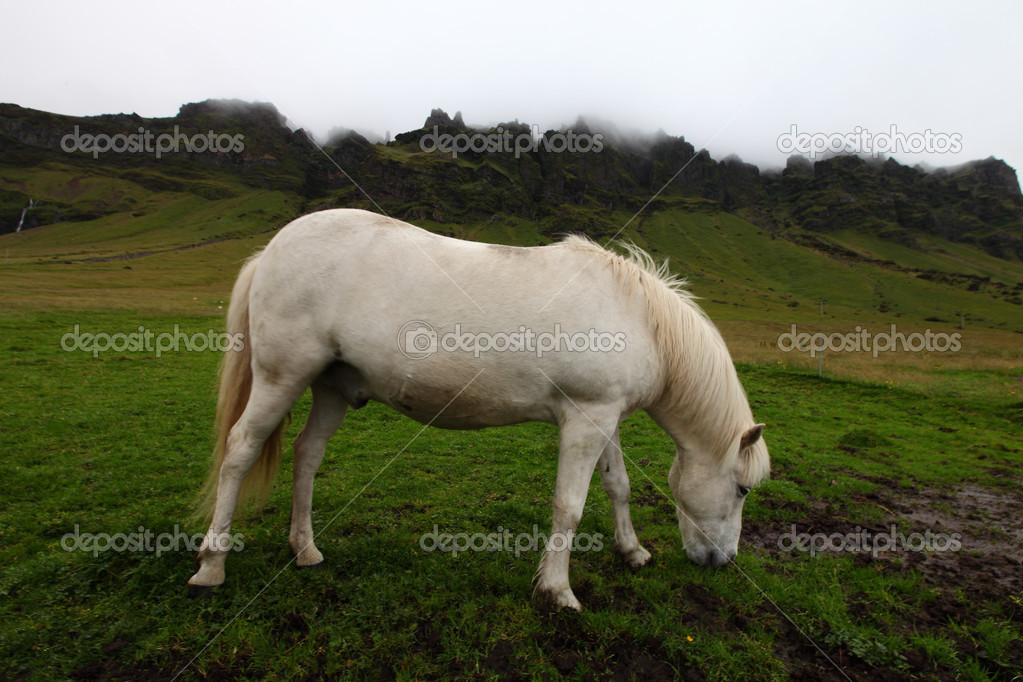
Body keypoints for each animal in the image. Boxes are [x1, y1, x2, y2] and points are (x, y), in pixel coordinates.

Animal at [190, 206, 769, 609]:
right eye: (742, 489)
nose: (723, 561)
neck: (638, 318)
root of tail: (271, 249)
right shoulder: (585, 422)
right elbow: (570, 506)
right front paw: (558, 591)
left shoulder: (605, 418)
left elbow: (618, 487)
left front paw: (632, 552)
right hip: (281, 378)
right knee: (240, 452)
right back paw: (212, 567)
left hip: (332, 387)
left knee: (307, 454)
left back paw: (305, 549)